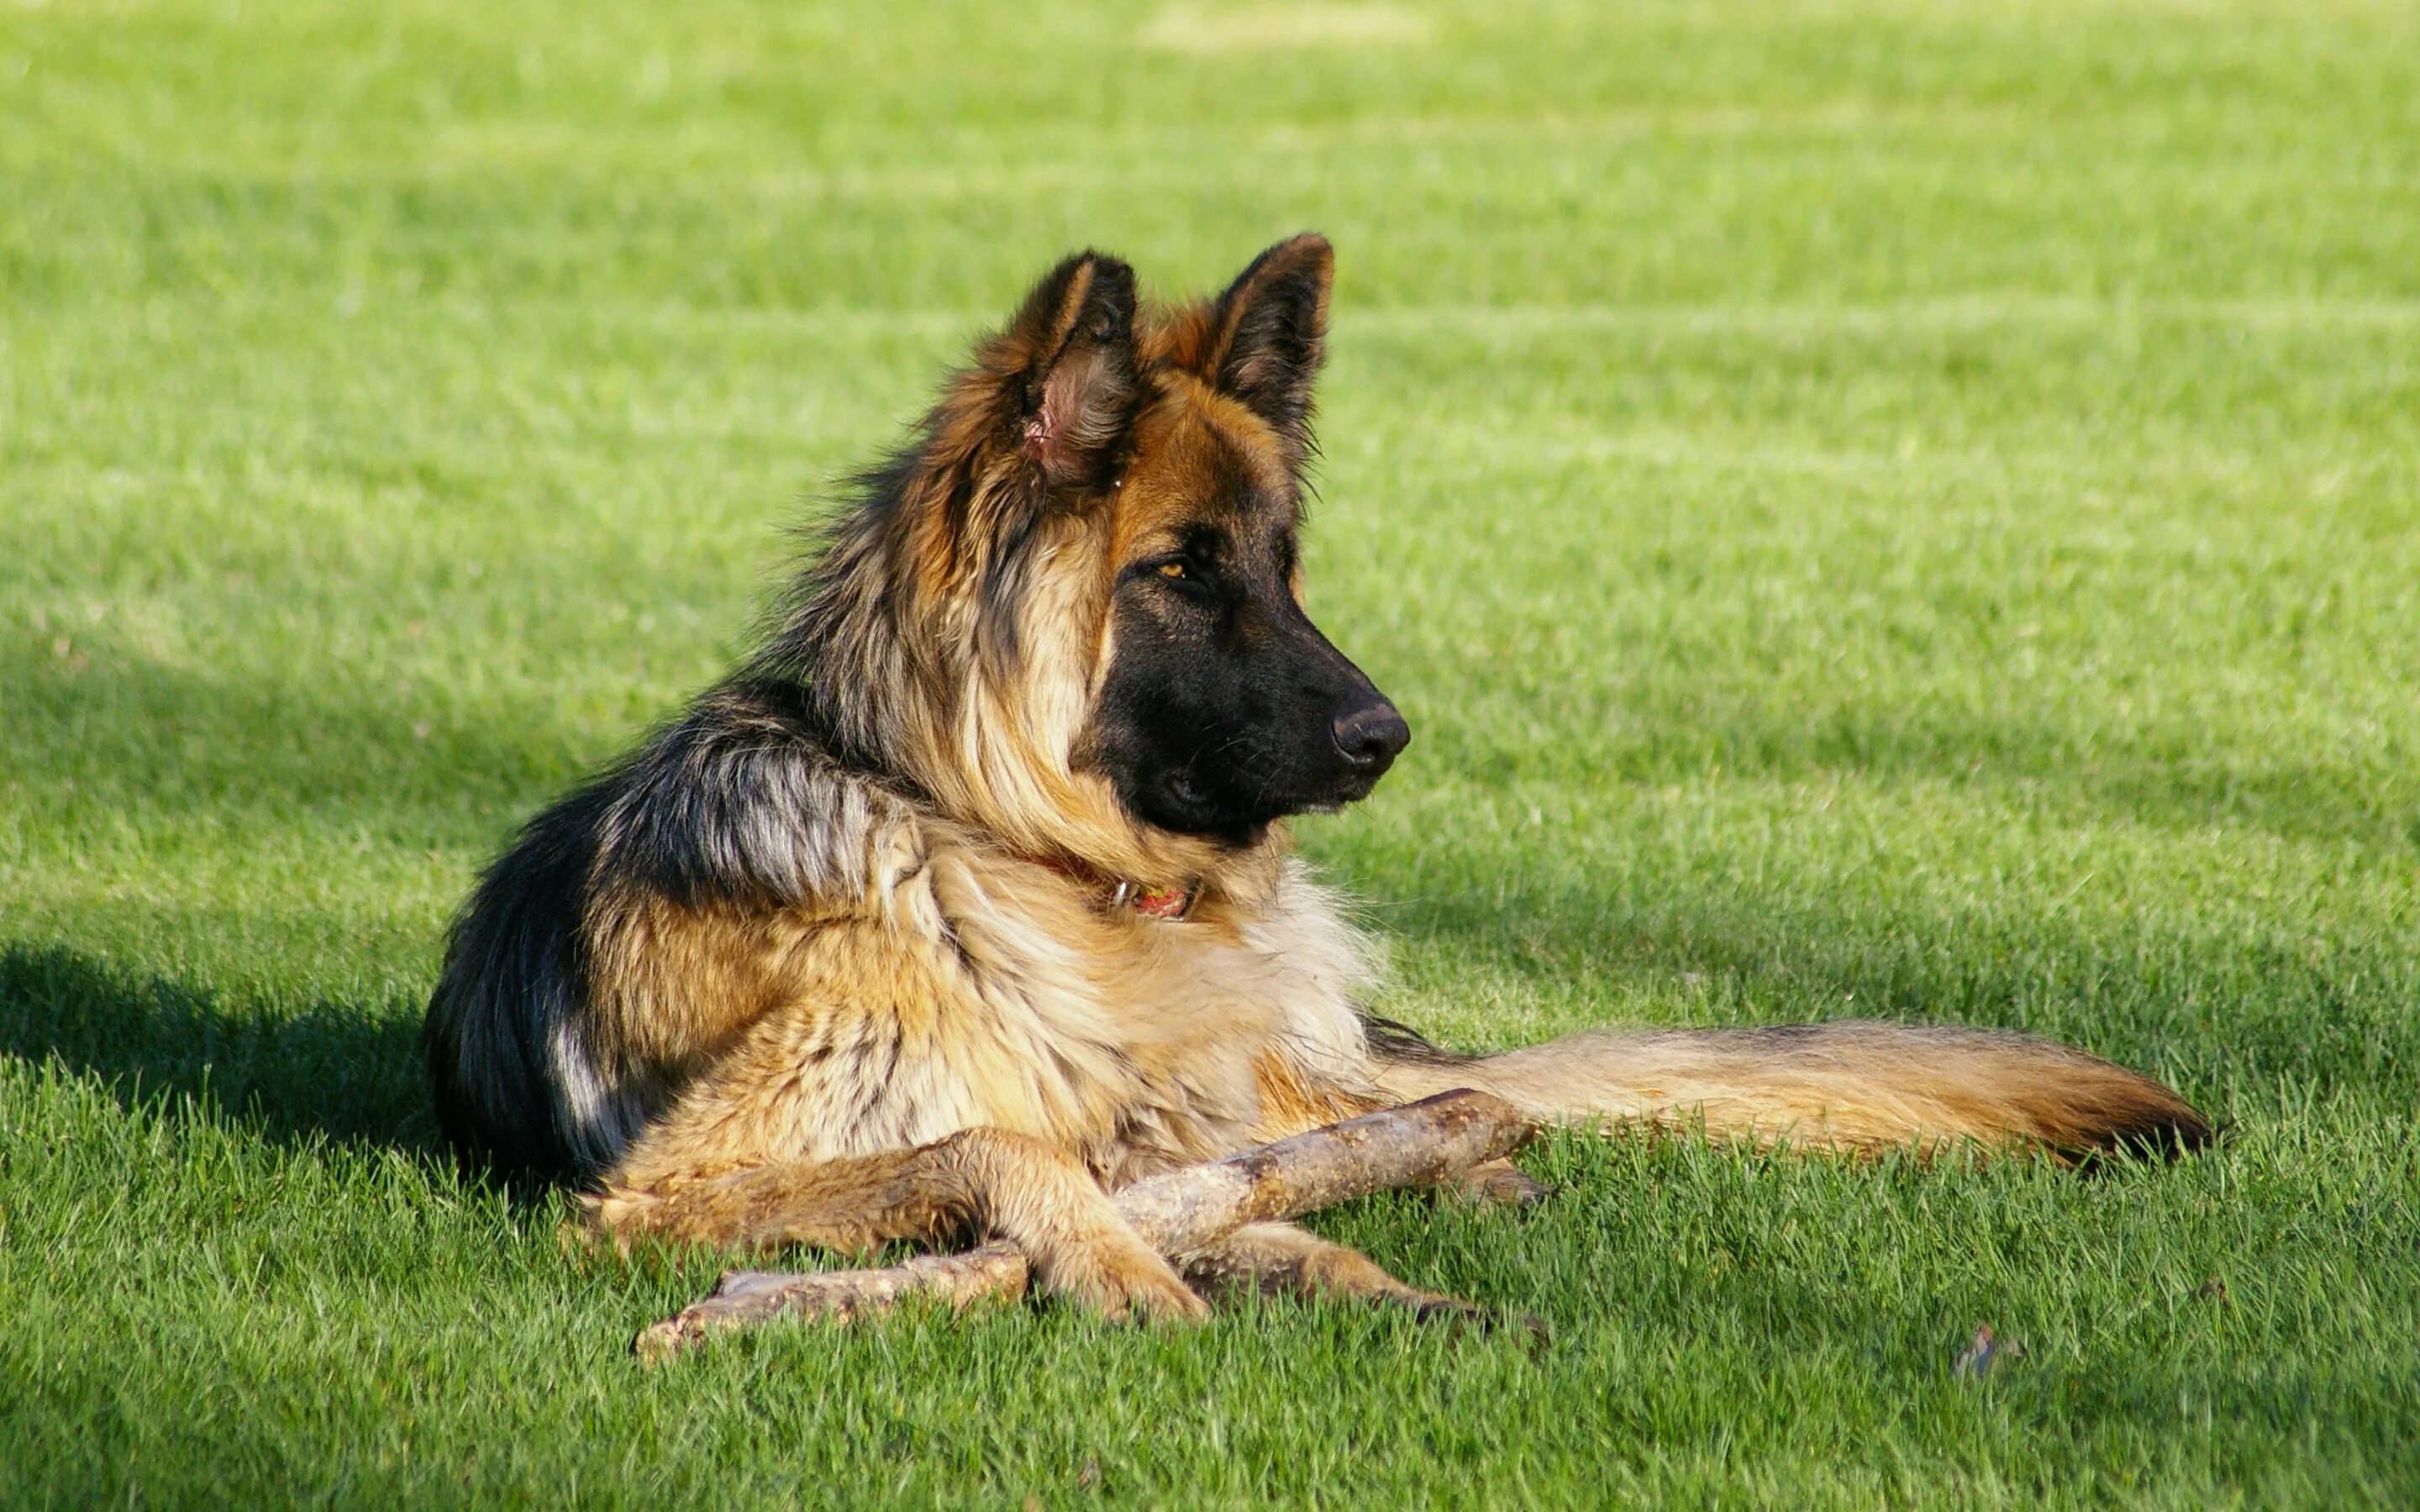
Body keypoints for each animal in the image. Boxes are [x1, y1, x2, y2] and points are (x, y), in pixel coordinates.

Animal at [421, 235, 2217, 1315]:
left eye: (1284, 570)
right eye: (1183, 573)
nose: (1388, 738)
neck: (1011, 857)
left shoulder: (1181, 1132)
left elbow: (1244, 1202)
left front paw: (1375, 1285)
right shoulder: (663, 1196)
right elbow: (1011, 1151)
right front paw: (1134, 1278)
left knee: (1429, 1107)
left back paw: (1477, 1168)